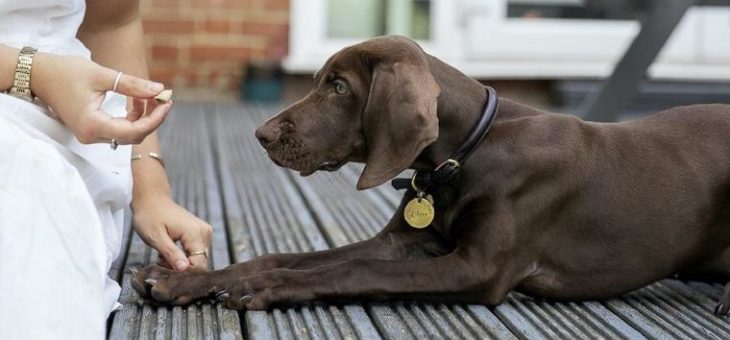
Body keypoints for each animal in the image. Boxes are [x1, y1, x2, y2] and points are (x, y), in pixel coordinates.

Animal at [134, 35, 728, 314]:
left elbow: (347, 271)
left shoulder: (480, 267)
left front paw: (262, 288)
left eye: (339, 87)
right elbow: (292, 256)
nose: (261, 134)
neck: (465, 154)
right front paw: (189, 280)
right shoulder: (404, 243)